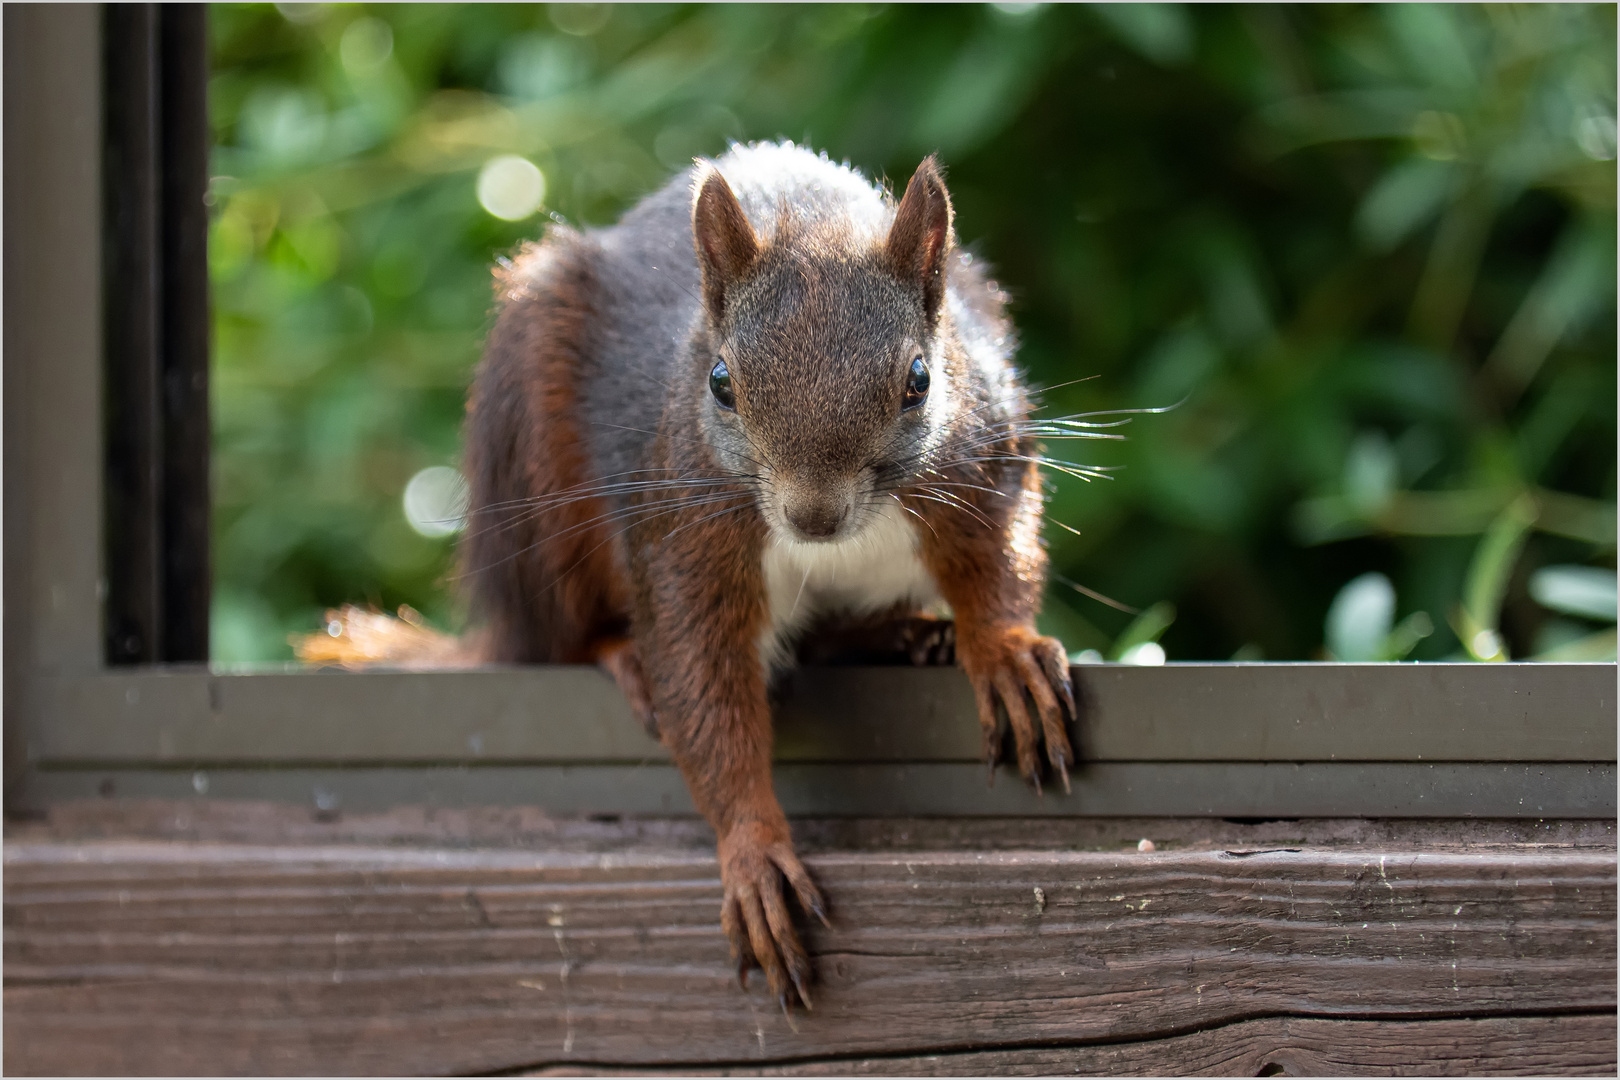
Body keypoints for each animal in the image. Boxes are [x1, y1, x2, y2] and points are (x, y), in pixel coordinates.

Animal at [304, 143, 1075, 1016]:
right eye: (719, 383)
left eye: (920, 378)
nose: (813, 515)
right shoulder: (685, 533)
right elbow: (701, 678)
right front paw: (752, 854)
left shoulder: (985, 459)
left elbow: (998, 562)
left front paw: (1006, 654)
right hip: (534, 476)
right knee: (559, 639)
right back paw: (621, 655)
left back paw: (901, 633)